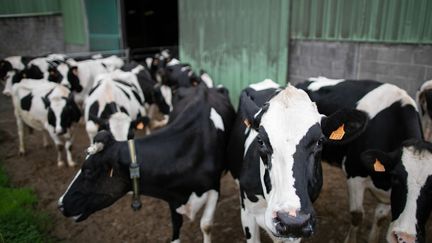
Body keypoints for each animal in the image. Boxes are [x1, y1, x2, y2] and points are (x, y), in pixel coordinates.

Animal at [57, 83, 236, 241]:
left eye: (88, 170)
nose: (60, 204)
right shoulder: (172, 196)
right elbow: (176, 225)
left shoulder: (214, 189)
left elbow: (206, 225)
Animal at [296, 77, 424, 243]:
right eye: (397, 178)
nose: (405, 238)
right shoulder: (354, 173)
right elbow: (357, 215)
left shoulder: (389, 193)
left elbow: (380, 218)